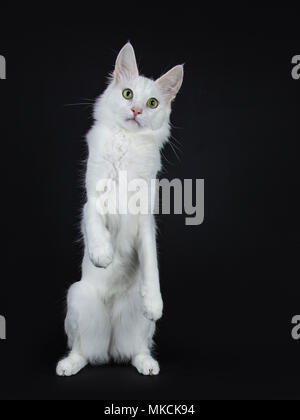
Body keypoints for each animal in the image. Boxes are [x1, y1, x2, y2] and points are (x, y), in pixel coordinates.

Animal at [56, 43, 183, 378]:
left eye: (152, 103)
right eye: (128, 94)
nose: (136, 110)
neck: (128, 142)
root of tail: (111, 346)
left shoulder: (145, 220)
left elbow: (152, 264)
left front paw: (155, 303)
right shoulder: (92, 197)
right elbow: (93, 220)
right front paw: (102, 255)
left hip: (137, 324)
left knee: (135, 349)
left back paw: (147, 365)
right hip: (77, 299)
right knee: (84, 350)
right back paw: (68, 365)